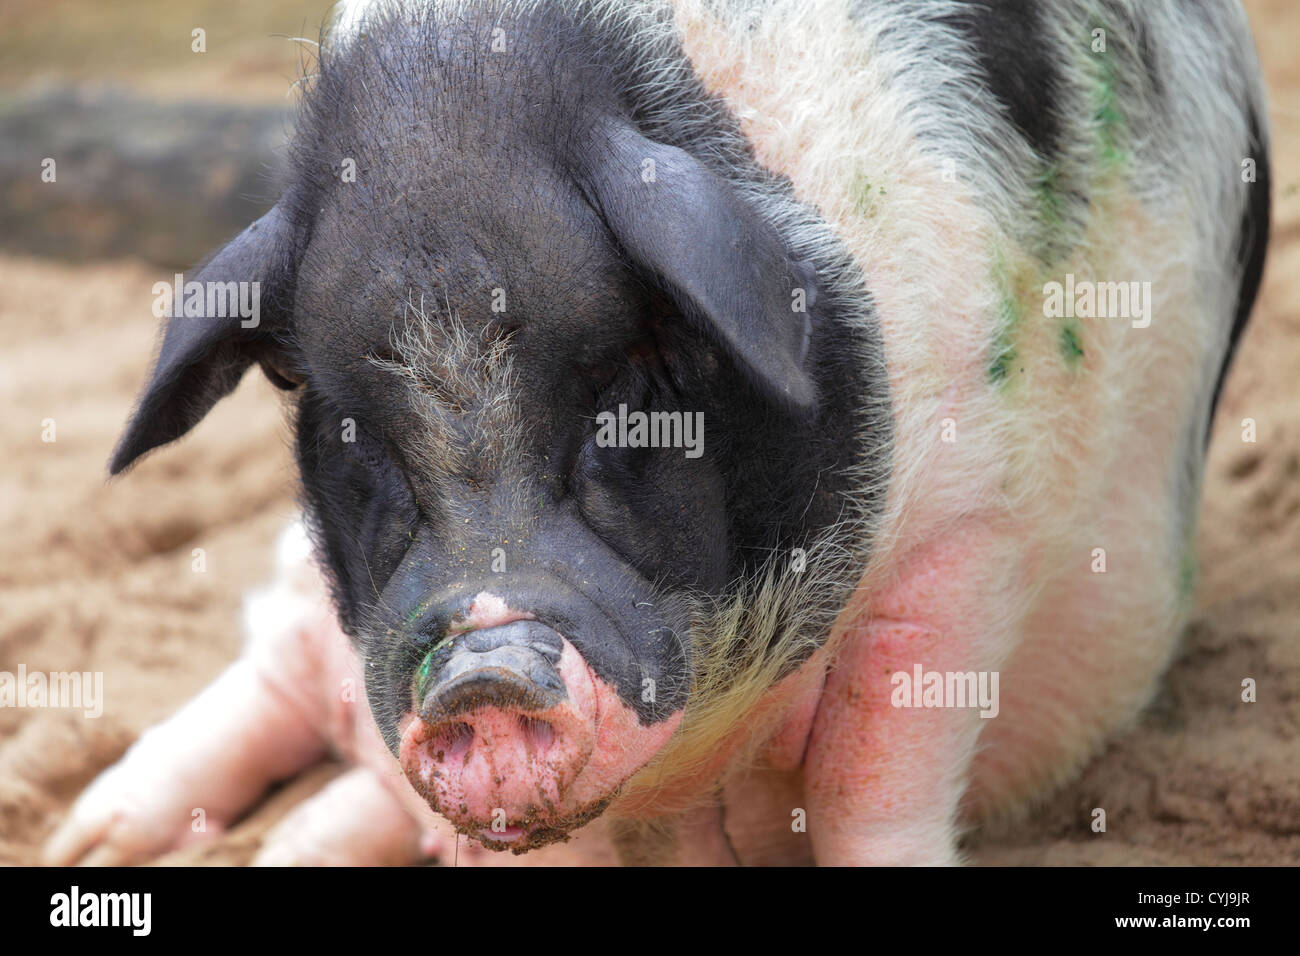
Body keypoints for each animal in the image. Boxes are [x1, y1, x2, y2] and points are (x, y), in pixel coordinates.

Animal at [43, 0, 1268, 868]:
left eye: (632, 377)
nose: (479, 670)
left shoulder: (965, 536)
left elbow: (871, 782)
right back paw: (86, 839)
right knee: (273, 673)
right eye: (331, 406)